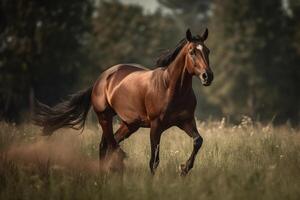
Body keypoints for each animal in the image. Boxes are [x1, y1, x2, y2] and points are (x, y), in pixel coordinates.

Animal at [34, 28, 213, 175]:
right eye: (192, 51)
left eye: (207, 51)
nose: (207, 76)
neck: (170, 88)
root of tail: (101, 79)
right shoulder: (156, 126)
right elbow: (154, 161)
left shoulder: (186, 121)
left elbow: (198, 141)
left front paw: (184, 169)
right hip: (105, 117)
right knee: (110, 146)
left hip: (129, 125)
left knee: (107, 145)